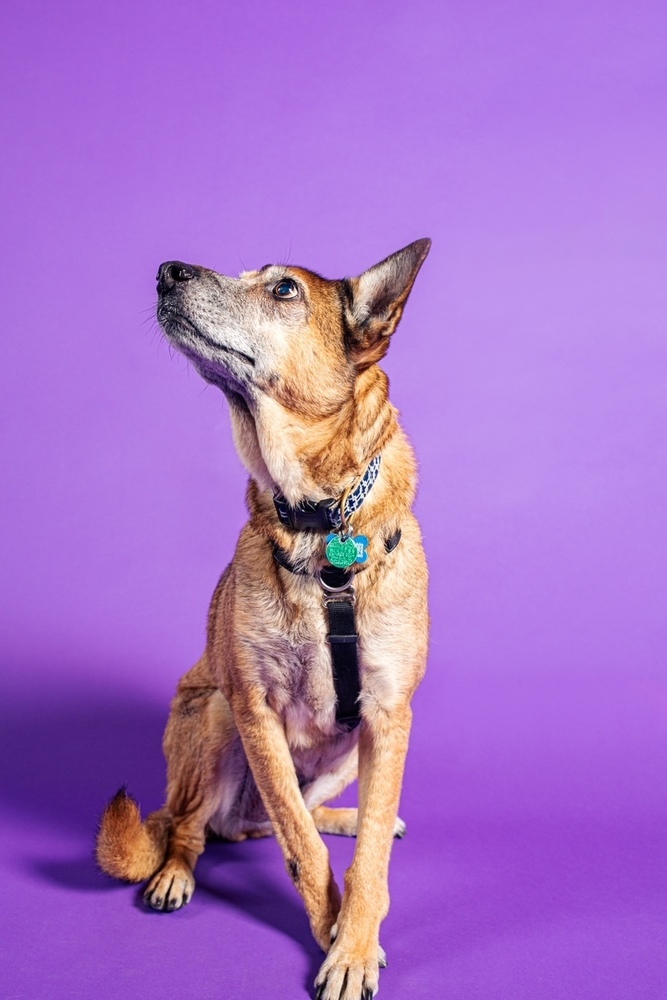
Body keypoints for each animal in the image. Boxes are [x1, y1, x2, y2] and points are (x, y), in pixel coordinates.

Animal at [98, 238, 434, 996]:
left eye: (283, 289)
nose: (166, 271)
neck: (320, 518)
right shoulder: (254, 706)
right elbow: (302, 852)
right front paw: (334, 934)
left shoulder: (389, 714)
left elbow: (368, 856)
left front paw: (355, 938)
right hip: (215, 716)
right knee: (197, 830)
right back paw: (174, 873)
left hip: (348, 752)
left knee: (307, 815)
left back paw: (344, 817)